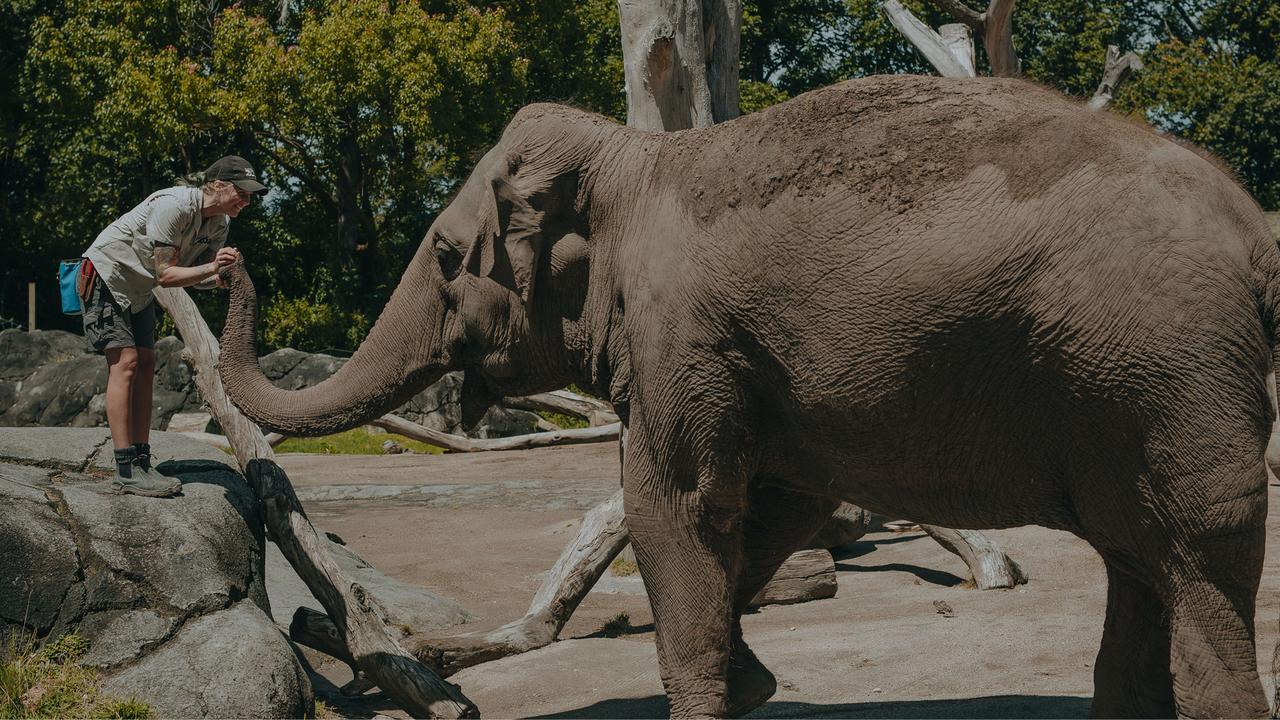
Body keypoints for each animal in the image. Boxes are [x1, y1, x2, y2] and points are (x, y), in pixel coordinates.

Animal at [220, 75, 1280, 712]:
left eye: (445, 256)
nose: (228, 253)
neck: (631, 160)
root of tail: (1256, 227)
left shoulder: (681, 333)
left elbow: (676, 508)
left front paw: (716, 691)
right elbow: (775, 509)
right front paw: (755, 681)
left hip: (1169, 377)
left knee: (1196, 562)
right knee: (1137, 562)